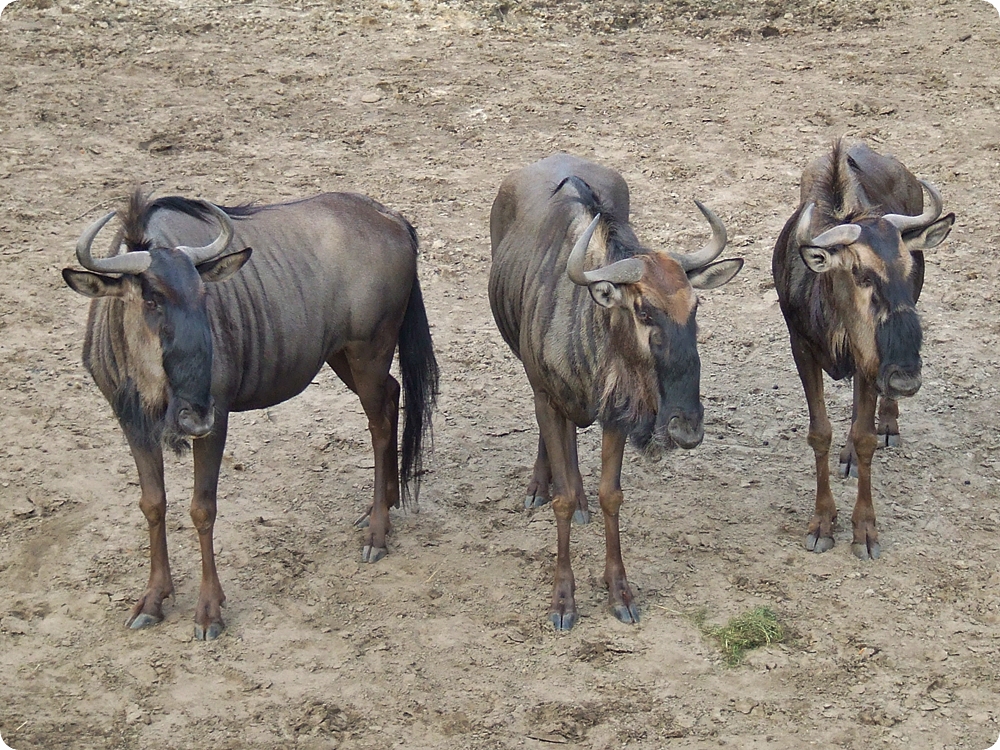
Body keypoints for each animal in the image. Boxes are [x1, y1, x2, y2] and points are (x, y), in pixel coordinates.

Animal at [62, 189, 439, 639]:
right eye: (151, 300)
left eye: (204, 297)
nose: (195, 415)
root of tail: (391, 218)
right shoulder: (133, 423)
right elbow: (153, 504)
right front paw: (153, 599)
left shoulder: (217, 422)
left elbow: (202, 509)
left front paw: (209, 611)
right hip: (341, 356)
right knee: (392, 396)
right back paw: (383, 503)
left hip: (369, 352)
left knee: (379, 422)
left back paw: (378, 533)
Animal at [489, 153, 744, 630]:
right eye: (643, 310)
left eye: (695, 306)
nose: (687, 429)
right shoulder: (548, 398)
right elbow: (562, 498)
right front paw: (563, 601)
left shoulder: (617, 415)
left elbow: (611, 495)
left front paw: (619, 590)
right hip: (537, 385)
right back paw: (540, 486)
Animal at [772, 140, 954, 560]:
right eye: (861, 273)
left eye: (908, 267)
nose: (905, 377)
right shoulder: (801, 348)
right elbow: (820, 433)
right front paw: (822, 523)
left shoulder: (871, 360)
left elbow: (865, 437)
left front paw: (865, 529)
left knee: (866, 420)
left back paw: (885, 424)